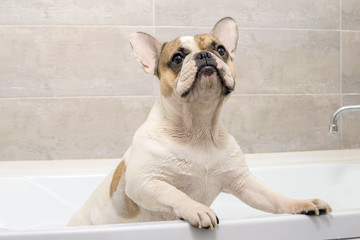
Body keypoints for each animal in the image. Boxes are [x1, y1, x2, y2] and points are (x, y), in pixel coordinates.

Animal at [69, 17, 334, 230]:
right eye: (177, 58)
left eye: (221, 50)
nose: (205, 55)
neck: (199, 128)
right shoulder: (146, 182)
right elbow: (174, 193)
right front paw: (196, 208)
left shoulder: (244, 183)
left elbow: (274, 197)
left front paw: (302, 203)